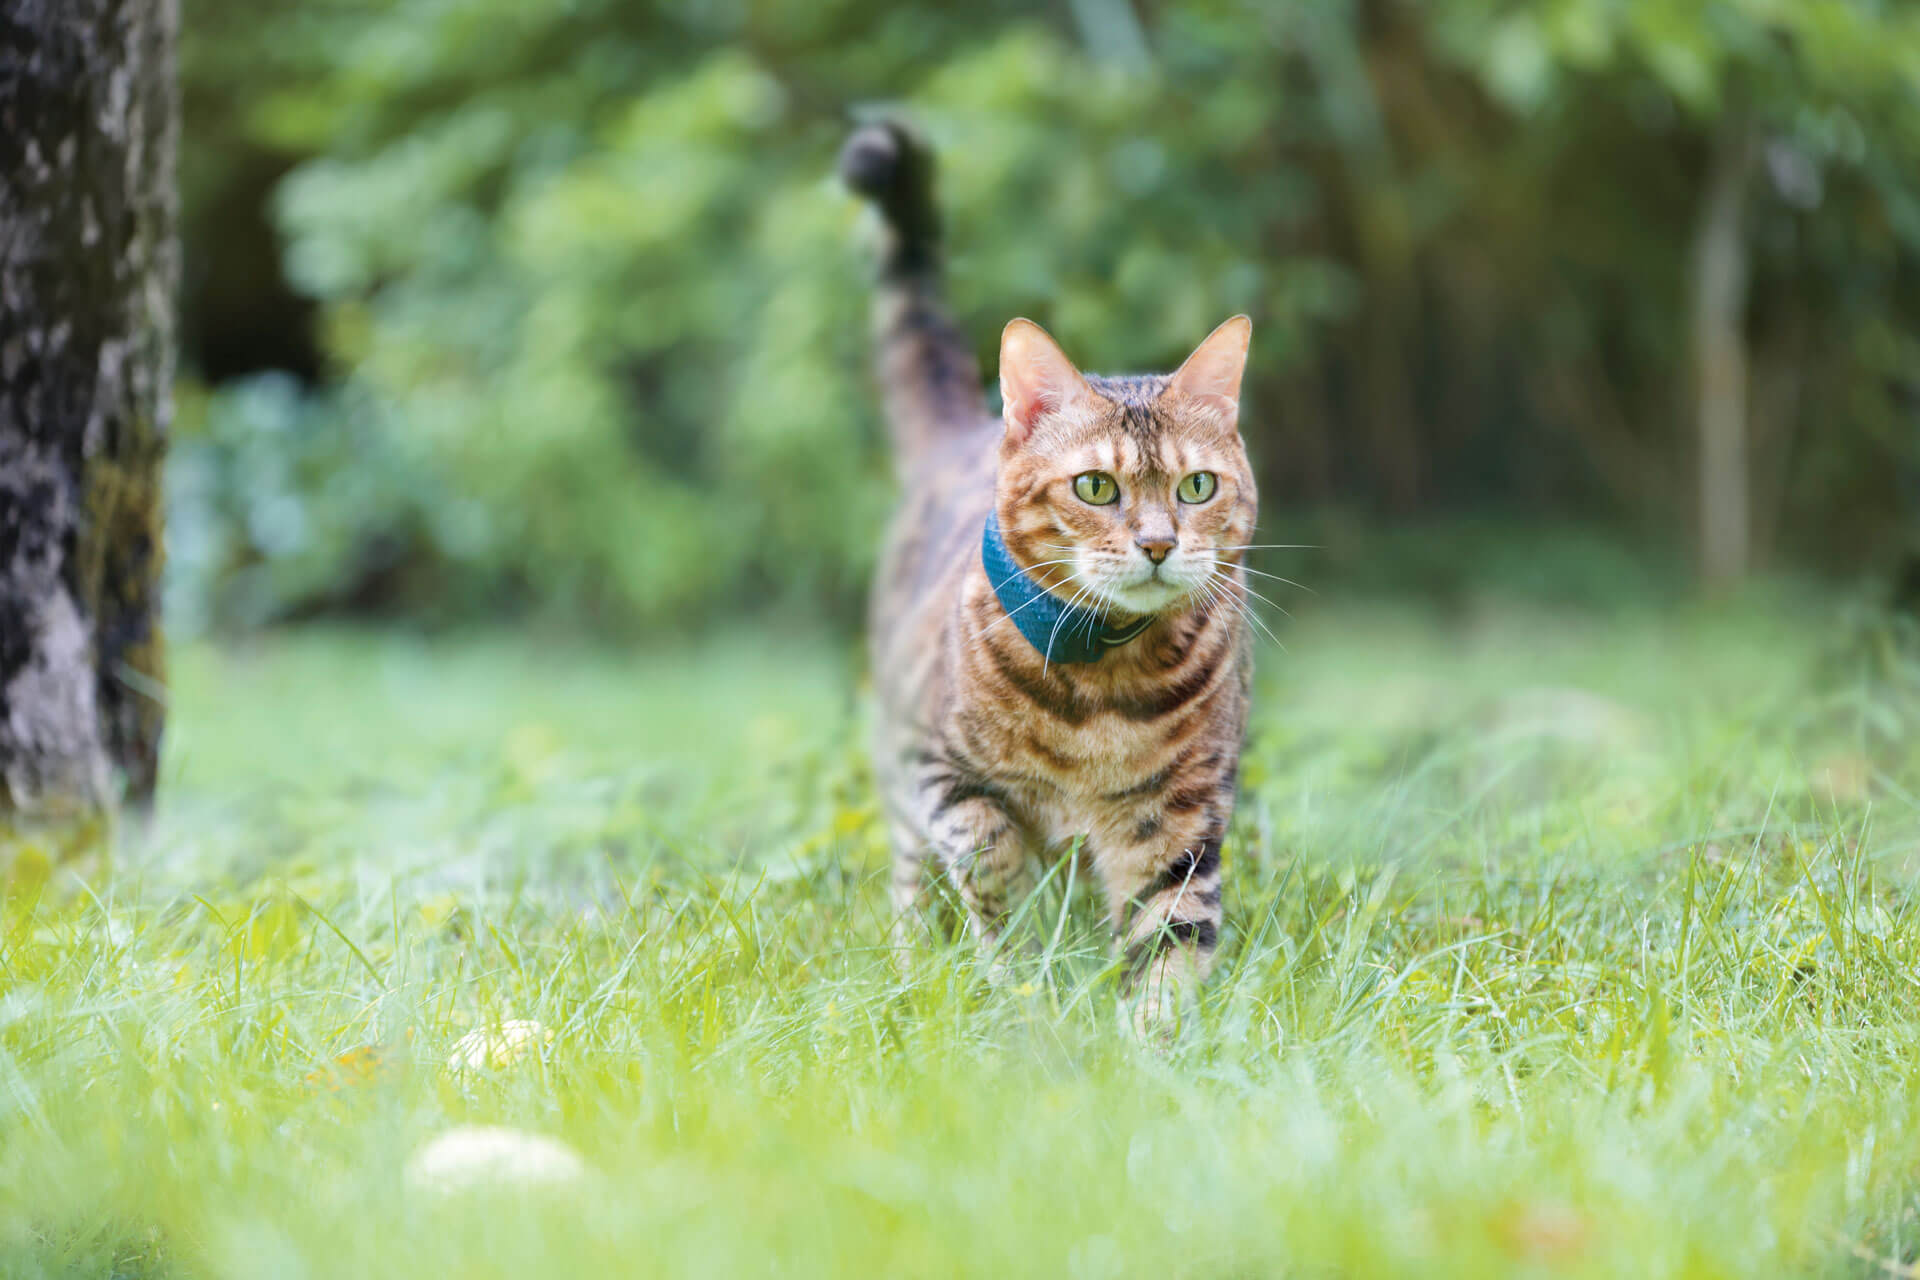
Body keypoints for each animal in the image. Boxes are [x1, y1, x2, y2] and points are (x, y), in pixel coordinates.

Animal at [840, 124, 1259, 1036]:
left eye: (1196, 487)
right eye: (1095, 487)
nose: (1158, 543)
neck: (1102, 693)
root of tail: (961, 434)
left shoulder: (1177, 816)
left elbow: (1171, 939)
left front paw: (1148, 1045)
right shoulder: (939, 768)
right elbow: (988, 852)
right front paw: (1023, 978)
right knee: (913, 884)